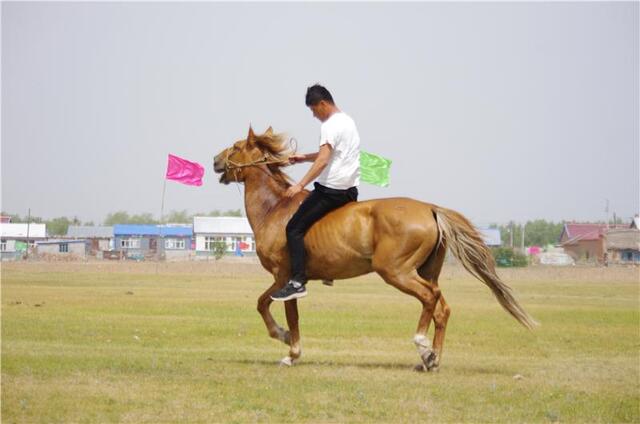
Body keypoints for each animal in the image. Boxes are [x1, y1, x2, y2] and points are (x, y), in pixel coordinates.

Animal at [212, 126, 536, 372]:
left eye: (236, 146)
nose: (215, 160)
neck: (276, 209)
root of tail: (430, 208)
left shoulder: (285, 277)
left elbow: (281, 310)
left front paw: (289, 350)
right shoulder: (280, 279)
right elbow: (262, 303)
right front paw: (282, 337)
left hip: (396, 271)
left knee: (430, 298)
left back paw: (422, 346)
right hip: (425, 271)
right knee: (442, 308)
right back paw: (431, 360)